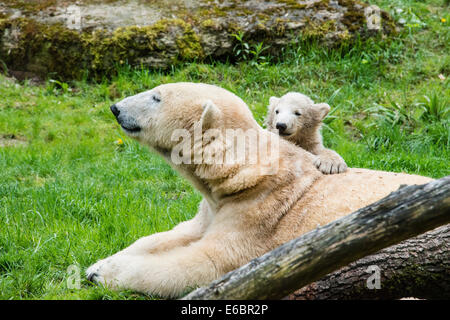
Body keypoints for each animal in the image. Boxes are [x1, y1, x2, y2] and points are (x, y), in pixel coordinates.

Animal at [85, 82, 432, 298]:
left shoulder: (259, 211)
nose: (115, 108)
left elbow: (205, 262)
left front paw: (102, 274)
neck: (237, 172)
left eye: (156, 97)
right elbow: (173, 234)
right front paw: (99, 263)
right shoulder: (214, 206)